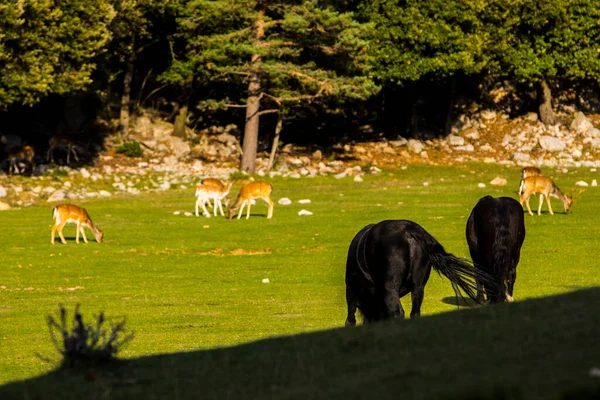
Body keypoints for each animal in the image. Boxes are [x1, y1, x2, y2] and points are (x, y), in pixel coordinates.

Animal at [344, 220, 494, 326]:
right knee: (414, 312)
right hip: (418, 287)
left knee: (398, 312)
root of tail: (410, 232)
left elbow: (350, 316)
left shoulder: (350, 289)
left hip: (389, 288)